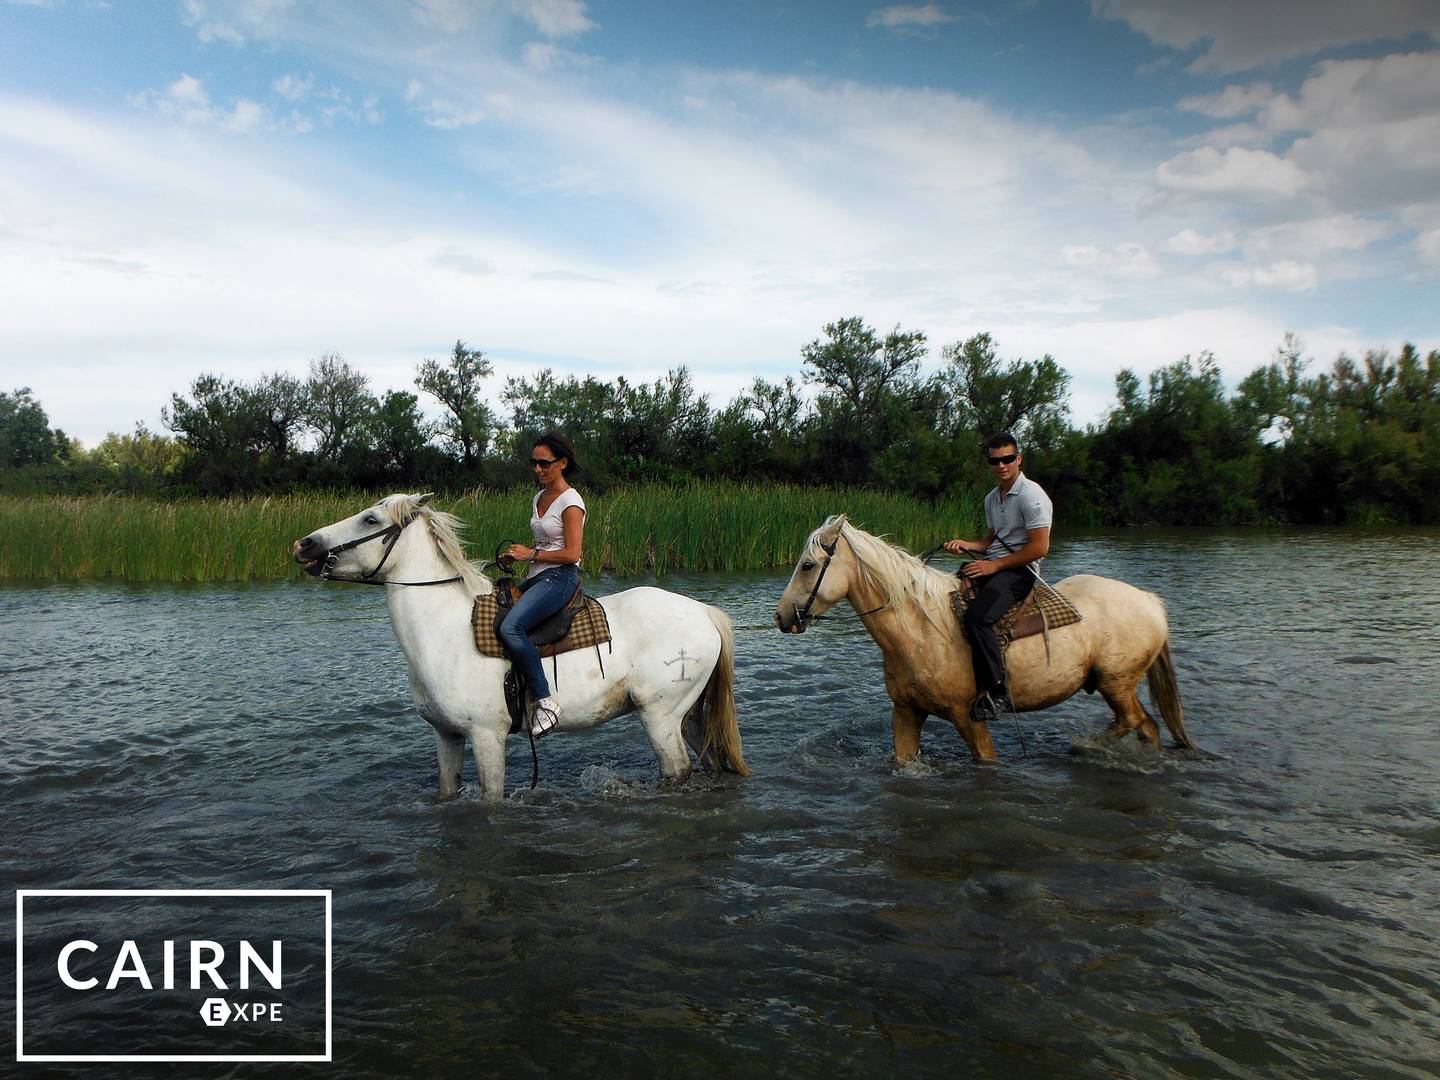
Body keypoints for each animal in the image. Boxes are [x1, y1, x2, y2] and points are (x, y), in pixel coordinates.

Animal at [288, 495, 748, 800]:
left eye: (369, 519)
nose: (303, 545)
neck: (444, 632)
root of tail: (703, 611)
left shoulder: (486, 737)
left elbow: (491, 799)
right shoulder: (446, 736)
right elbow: (447, 790)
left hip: (660, 717)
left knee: (678, 770)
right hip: (688, 715)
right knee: (710, 759)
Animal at [777, 518, 1192, 766]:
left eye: (808, 565)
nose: (781, 617)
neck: (920, 628)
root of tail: (1151, 602)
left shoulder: (968, 718)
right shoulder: (906, 712)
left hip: (1116, 682)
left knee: (1135, 721)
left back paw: (1087, 746)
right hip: (1117, 685)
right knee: (1148, 726)